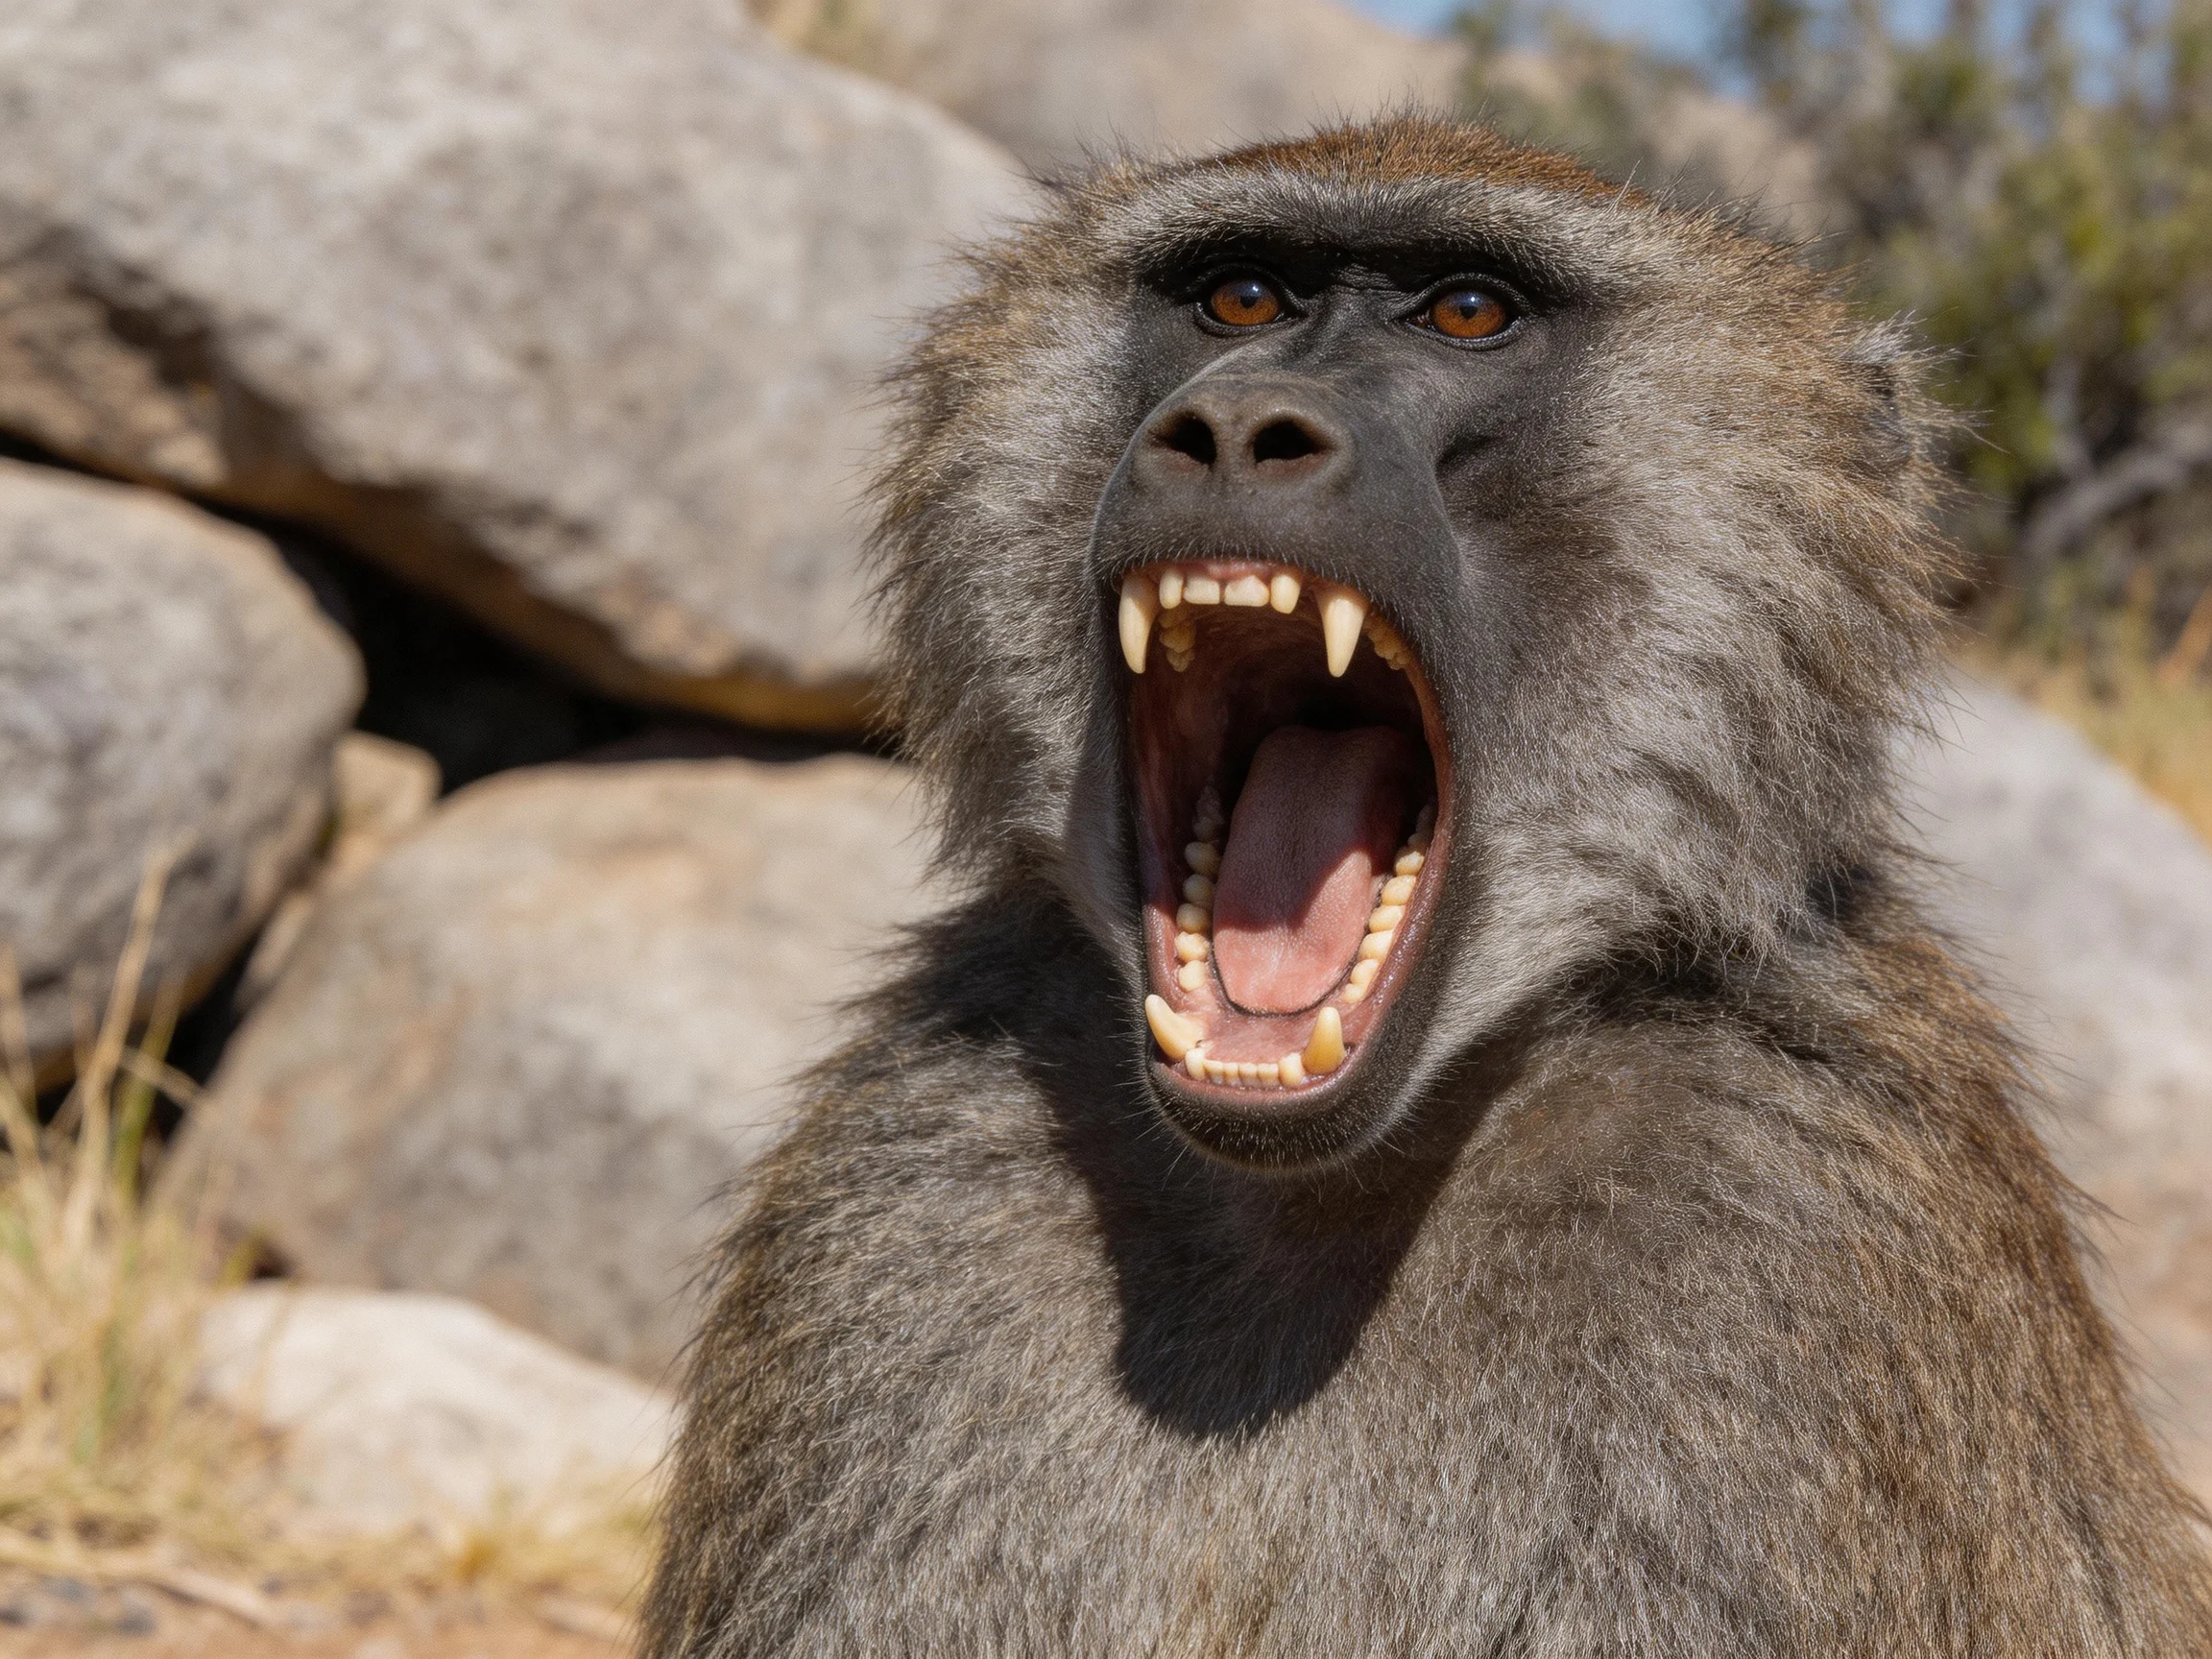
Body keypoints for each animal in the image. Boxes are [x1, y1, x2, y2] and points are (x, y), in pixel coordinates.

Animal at [642, 118, 2212, 1655]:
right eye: (1241, 298)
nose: (1237, 428)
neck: (1316, 1191)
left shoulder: (1784, 1238)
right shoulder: (913, 1172)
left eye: (1467, 311)